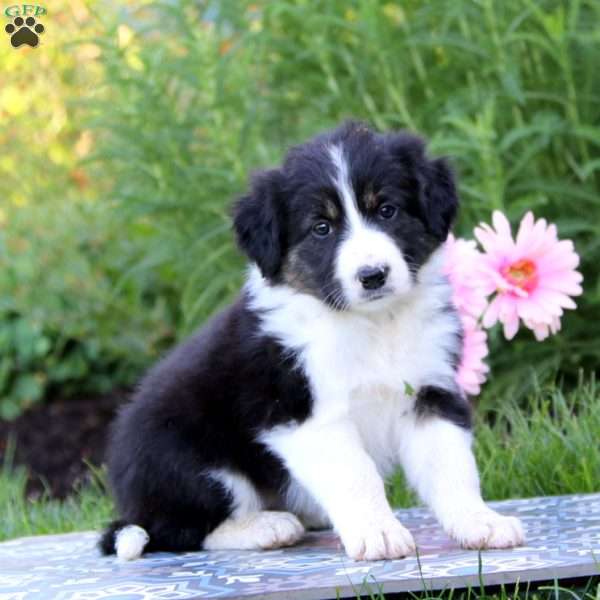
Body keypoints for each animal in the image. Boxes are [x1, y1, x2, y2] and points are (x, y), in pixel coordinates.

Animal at [101, 122, 524, 564]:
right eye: (322, 227)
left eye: (387, 210)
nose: (373, 275)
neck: (373, 325)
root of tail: (132, 505)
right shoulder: (305, 414)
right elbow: (356, 474)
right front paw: (379, 534)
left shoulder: (429, 391)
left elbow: (452, 467)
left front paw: (480, 522)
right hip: (191, 461)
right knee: (179, 531)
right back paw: (267, 526)